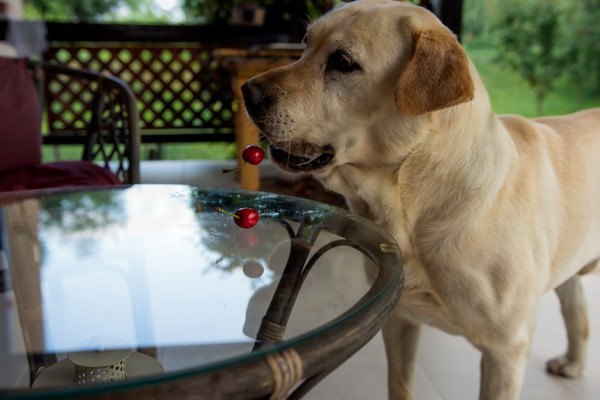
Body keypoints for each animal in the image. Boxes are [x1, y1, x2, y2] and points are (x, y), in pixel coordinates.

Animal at [241, 1, 596, 398]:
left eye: (343, 62)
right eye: (305, 45)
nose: (247, 93)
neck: (413, 207)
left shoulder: (506, 350)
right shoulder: (400, 317)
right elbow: (400, 383)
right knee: (577, 311)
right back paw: (573, 363)